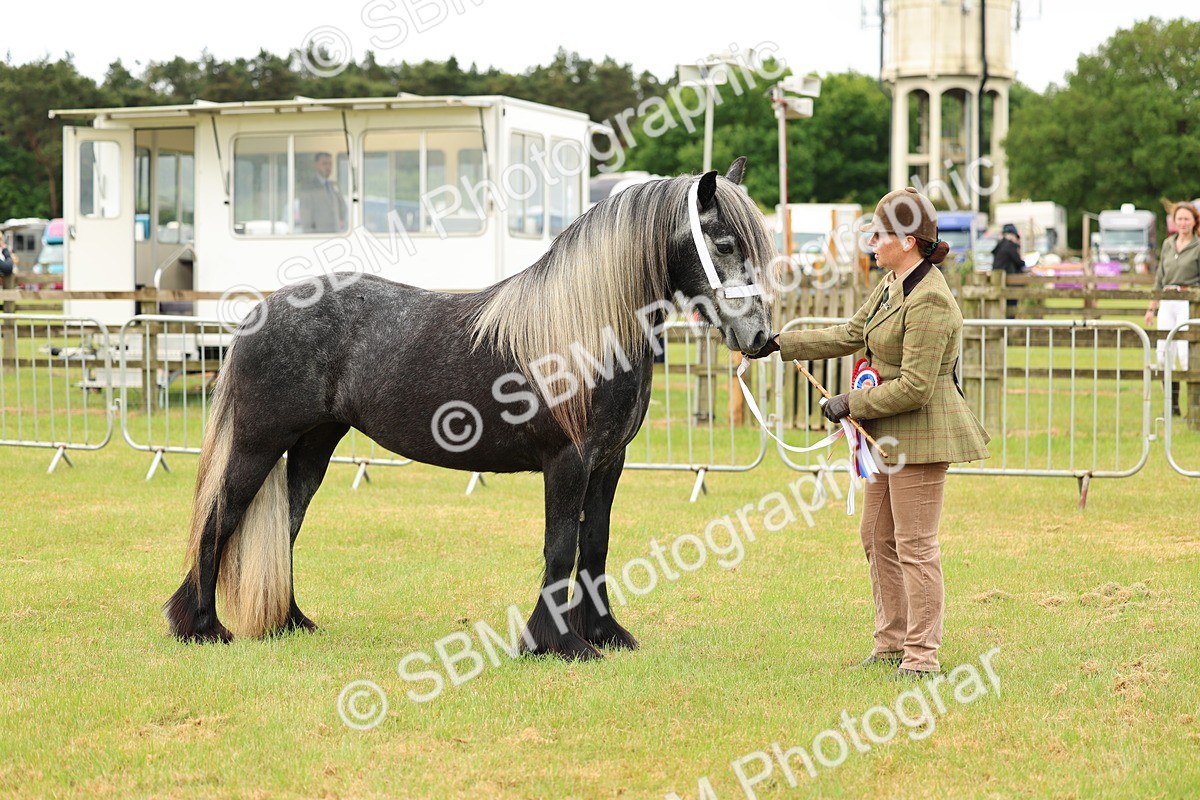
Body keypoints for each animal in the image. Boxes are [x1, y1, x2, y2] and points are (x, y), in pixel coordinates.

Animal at [164, 157, 775, 660]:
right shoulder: (568, 463)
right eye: (724, 243)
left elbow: (595, 547)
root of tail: (258, 314)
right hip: (258, 444)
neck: (582, 331)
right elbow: (560, 549)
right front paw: (556, 644)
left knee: (286, 527)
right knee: (219, 519)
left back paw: (290, 622)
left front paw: (606, 634)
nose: (761, 337)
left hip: (313, 447)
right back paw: (202, 627)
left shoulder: (608, 463)